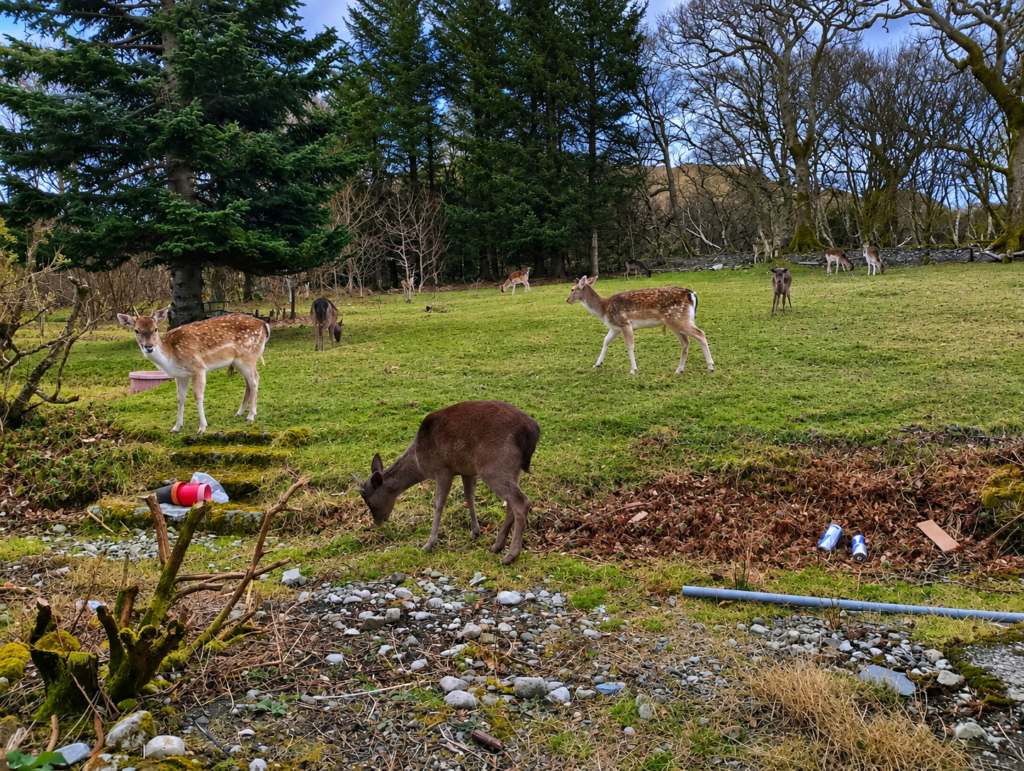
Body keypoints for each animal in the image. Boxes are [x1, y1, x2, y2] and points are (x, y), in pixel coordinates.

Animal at [117, 308, 269, 434]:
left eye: (155, 329)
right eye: (136, 330)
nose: (149, 347)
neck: (170, 357)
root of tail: (264, 324)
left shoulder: (198, 368)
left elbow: (198, 396)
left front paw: (202, 428)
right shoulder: (180, 375)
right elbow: (180, 398)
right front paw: (176, 427)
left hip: (247, 355)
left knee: (255, 380)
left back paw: (251, 416)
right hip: (239, 361)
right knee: (249, 381)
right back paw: (240, 412)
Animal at [352, 401, 541, 565]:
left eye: (367, 500)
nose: (377, 523)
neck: (419, 461)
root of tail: (530, 431)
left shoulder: (443, 469)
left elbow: (438, 505)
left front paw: (428, 545)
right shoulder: (467, 471)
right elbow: (469, 497)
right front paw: (475, 531)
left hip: (493, 466)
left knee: (521, 501)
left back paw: (510, 555)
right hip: (512, 469)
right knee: (510, 504)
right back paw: (496, 546)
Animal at [566, 276, 714, 375]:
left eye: (572, 289)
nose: (567, 300)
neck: (603, 310)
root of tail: (692, 294)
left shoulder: (625, 323)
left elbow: (630, 346)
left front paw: (633, 370)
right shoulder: (615, 328)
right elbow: (606, 341)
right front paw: (597, 364)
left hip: (678, 318)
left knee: (700, 334)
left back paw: (710, 367)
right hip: (674, 322)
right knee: (685, 341)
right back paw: (679, 370)